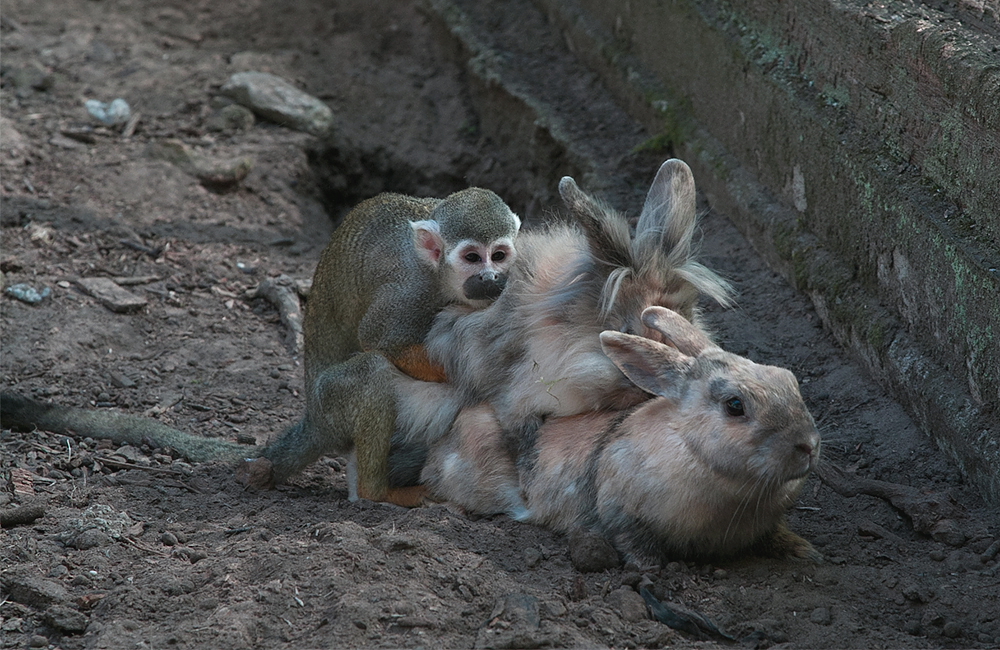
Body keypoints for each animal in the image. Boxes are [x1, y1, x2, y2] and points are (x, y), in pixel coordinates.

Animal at [3, 185, 524, 504]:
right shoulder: (409, 291)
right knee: (372, 373)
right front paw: (458, 374)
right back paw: (380, 492)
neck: (441, 279)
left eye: (499, 254)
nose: (491, 278)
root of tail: (314, 419)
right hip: (333, 406)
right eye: (471, 257)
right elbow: (380, 340)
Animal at [422, 306, 820, 560]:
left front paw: (805, 552)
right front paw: (652, 570)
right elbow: (635, 544)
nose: (809, 446)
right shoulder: (621, 511)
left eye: (788, 378)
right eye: (735, 405)